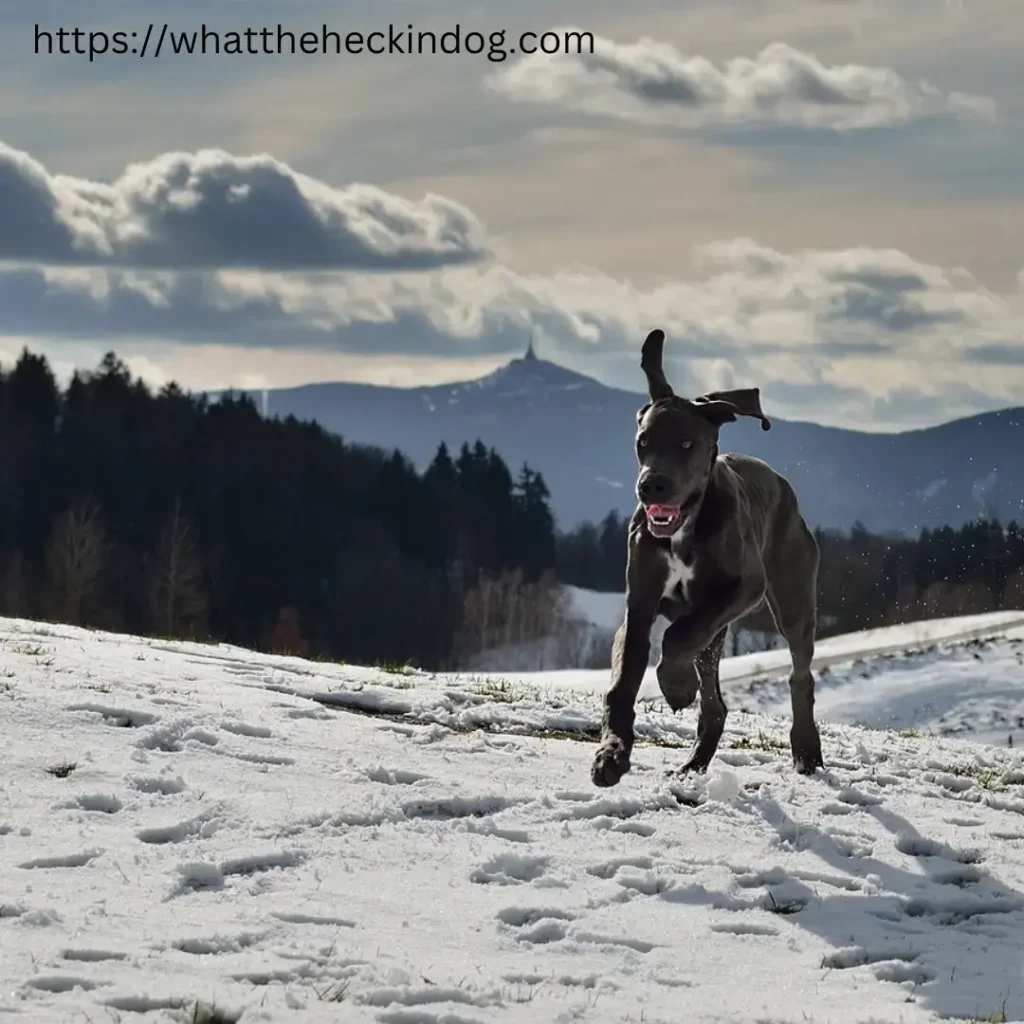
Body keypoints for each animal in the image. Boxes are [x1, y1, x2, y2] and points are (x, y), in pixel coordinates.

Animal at [593, 327, 823, 782]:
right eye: (643, 442)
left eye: (687, 443)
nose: (651, 486)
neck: (685, 529)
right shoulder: (639, 604)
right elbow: (623, 682)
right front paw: (611, 754)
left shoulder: (746, 586)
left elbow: (677, 638)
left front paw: (675, 685)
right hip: (715, 634)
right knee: (715, 704)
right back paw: (693, 763)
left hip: (792, 601)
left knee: (799, 674)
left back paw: (806, 749)